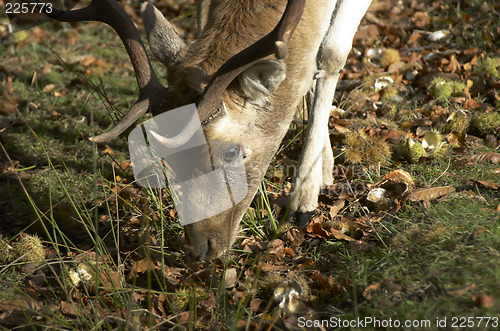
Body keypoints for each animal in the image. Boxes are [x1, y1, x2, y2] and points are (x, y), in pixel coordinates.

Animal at [37, 0, 374, 260]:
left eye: (231, 151)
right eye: (165, 156)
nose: (201, 248)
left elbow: (329, 53)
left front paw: (303, 201)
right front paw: (323, 169)